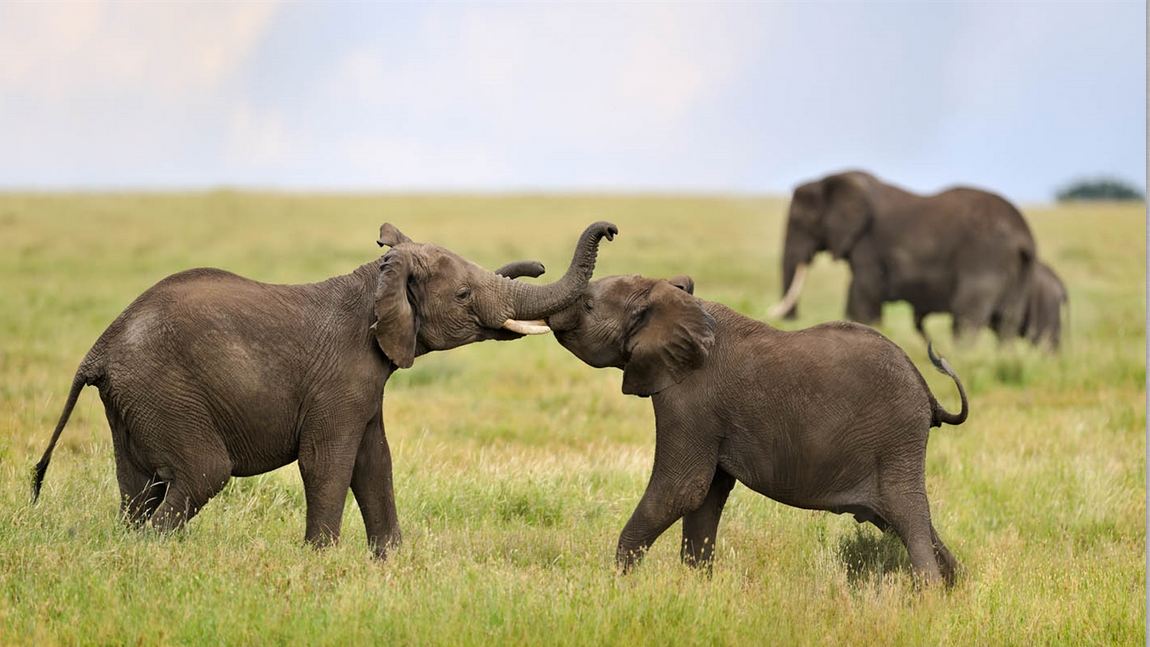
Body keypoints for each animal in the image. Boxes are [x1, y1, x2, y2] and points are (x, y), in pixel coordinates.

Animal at [31, 220, 616, 558]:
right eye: (465, 294)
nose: (610, 230)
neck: (376, 278)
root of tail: (98, 350)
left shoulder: (368, 380)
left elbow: (374, 462)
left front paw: (391, 562)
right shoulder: (342, 378)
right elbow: (328, 462)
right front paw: (321, 563)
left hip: (134, 401)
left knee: (139, 487)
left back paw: (128, 552)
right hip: (166, 392)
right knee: (200, 473)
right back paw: (155, 556)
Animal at [547, 273, 970, 588]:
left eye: (587, 305)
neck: (675, 301)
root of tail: (927, 391)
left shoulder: (689, 401)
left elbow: (681, 489)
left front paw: (619, 585)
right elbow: (705, 498)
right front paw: (696, 590)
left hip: (897, 440)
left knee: (909, 517)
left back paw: (929, 596)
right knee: (907, 522)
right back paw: (955, 588)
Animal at [768, 171, 1039, 344]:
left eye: (800, 222)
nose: (792, 319)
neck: (830, 180)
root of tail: (1023, 234)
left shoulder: (868, 242)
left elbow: (865, 289)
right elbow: (856, 293)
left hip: (985, 255)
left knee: (967, 315)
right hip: (1021, 270)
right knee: (1007, 322)